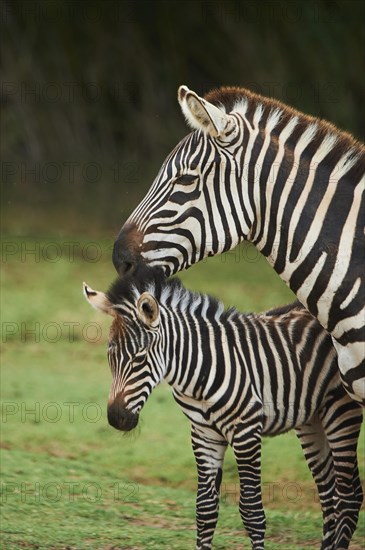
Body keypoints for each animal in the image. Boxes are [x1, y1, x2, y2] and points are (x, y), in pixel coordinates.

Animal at [84, 268, 362, 550]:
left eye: (139, 358)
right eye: (110, 357)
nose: (117, 418)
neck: (197, 375)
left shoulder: (245, 431)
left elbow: (252, 511)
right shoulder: (204, 434)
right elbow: (205, 509)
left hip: (340, 411)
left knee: (348, 497)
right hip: (312, 420)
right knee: (330, 496)